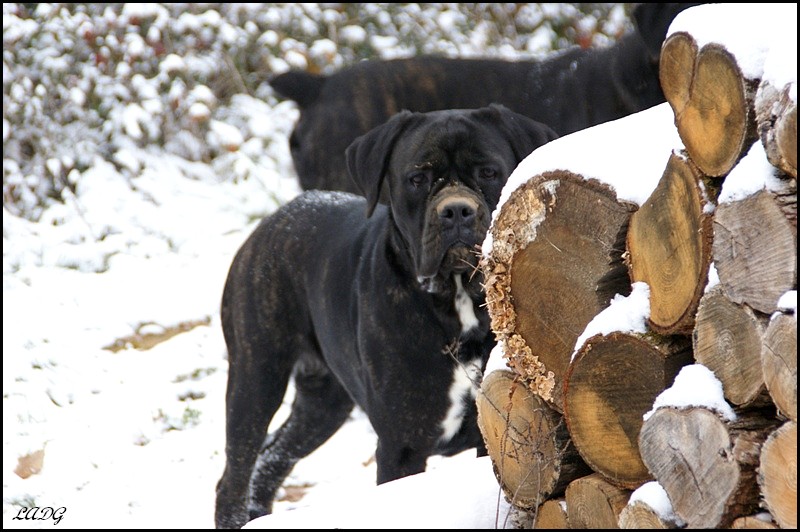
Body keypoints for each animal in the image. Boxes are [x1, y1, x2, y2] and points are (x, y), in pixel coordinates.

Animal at [216, 105, 560, 528]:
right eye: (418, 178)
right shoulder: (402, 446)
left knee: (272, 458)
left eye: (488, 172)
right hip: (256, 377)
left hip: (324, 401)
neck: (456, 302)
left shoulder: (491, 436)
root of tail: (269, 222)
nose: (457, 210)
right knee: (236, 474)